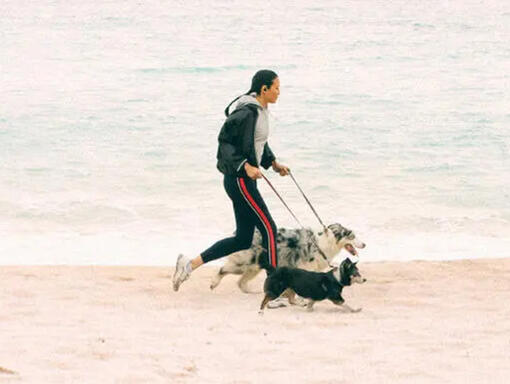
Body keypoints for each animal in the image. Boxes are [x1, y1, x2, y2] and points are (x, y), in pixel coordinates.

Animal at [209, 222, 364, 292]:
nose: (365, 244)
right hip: (244, 263)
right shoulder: (304, 266)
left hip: (255, 266)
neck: (324, 242)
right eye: (352, 236)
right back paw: (214, 283)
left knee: (241, 282)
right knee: (223, 270)